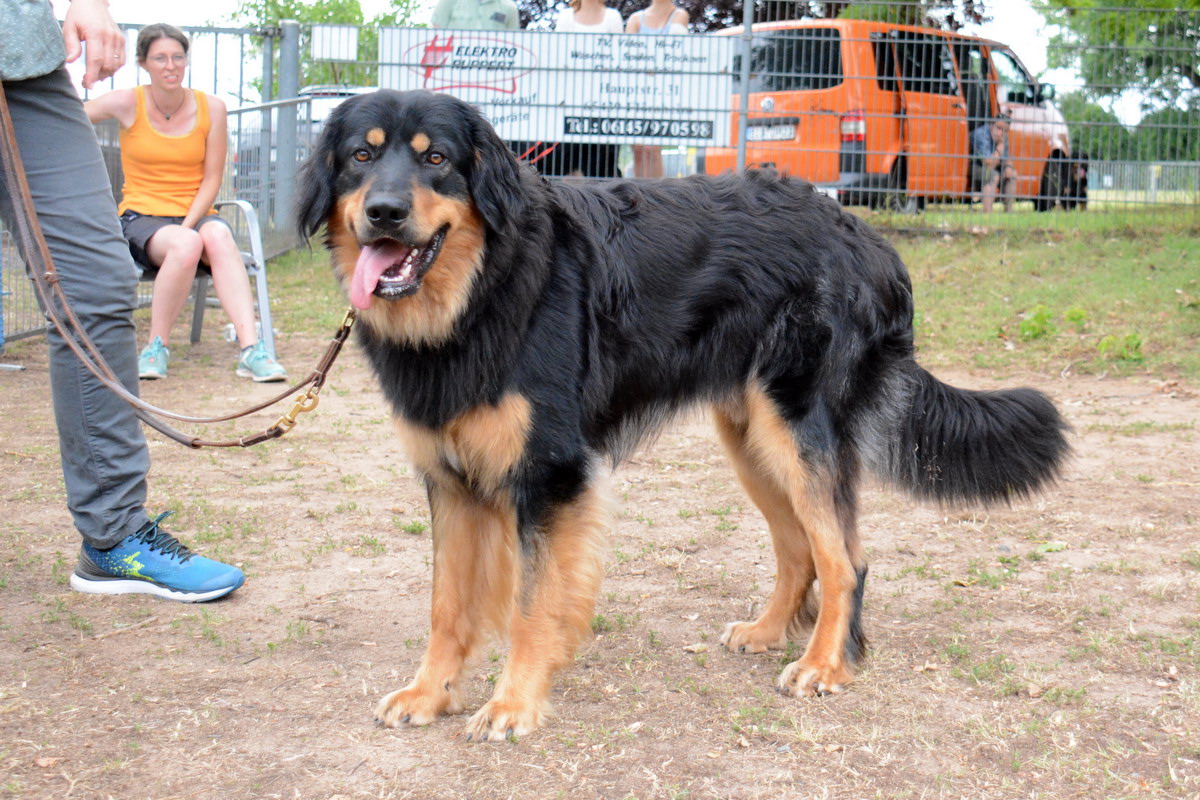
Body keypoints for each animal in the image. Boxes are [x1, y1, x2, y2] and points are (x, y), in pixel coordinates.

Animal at [295, 90, 1065, 743]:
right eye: (360, 156)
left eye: (437, 160)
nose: (384, 212)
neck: (485, 287)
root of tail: (862, 232)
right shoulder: (450, 479)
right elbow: (447, 605)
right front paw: (430, 693)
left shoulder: (551, 473)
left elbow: (530, 605)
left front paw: (514, 703)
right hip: (751, 437)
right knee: (800, 550)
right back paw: (769, 631)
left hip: (797, 431)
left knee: (845, 559)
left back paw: (824, 664)